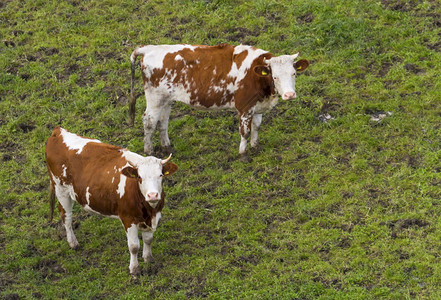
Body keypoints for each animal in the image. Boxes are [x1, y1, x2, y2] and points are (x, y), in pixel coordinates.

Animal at [46, 126, 179, 276]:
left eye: (160, 175)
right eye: (139, 177)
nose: (152, 195)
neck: (148, 209)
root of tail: (58, 131)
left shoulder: (154, 216)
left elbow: (148, 239)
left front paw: (148, 259)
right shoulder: (128, 218)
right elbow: (134, 246)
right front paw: (134, 270)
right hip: (61, 189)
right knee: (66, 217)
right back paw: (73, 243)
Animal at [128, 43, 310, 162]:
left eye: (294, 73)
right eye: (275, 76)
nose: (289, 94)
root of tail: (150, 48)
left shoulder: (257, 106)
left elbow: (256, 126)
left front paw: (255, 146)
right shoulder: (244, 107)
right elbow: (245, 131)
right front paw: (243, 154)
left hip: (166, 99)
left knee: (163, 121)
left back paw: (167, 146)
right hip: (155, 98)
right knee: (149, 121)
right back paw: (149, 150)